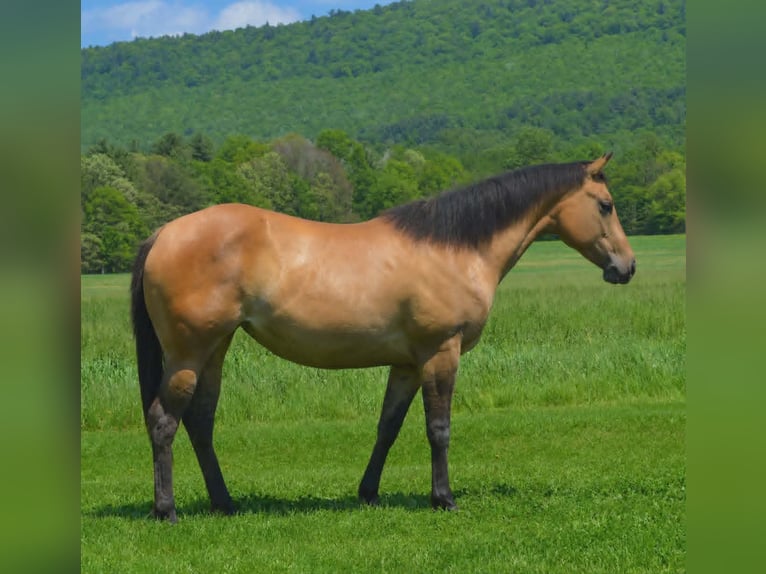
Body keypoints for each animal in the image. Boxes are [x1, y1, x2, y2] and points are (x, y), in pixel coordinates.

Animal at [130, 152, 635, 522]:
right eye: (605, 204)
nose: (626, 267)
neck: (452, 250)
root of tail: (163, 233)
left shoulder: (407, 363)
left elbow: (387, 427)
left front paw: (368, 493)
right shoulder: (440, 353)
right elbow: (438, 429)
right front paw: (443, 498)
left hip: (215, 349)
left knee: (200, 422)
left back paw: (224, 503)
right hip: (188, 352)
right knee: (164, 420)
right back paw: (166, 510)